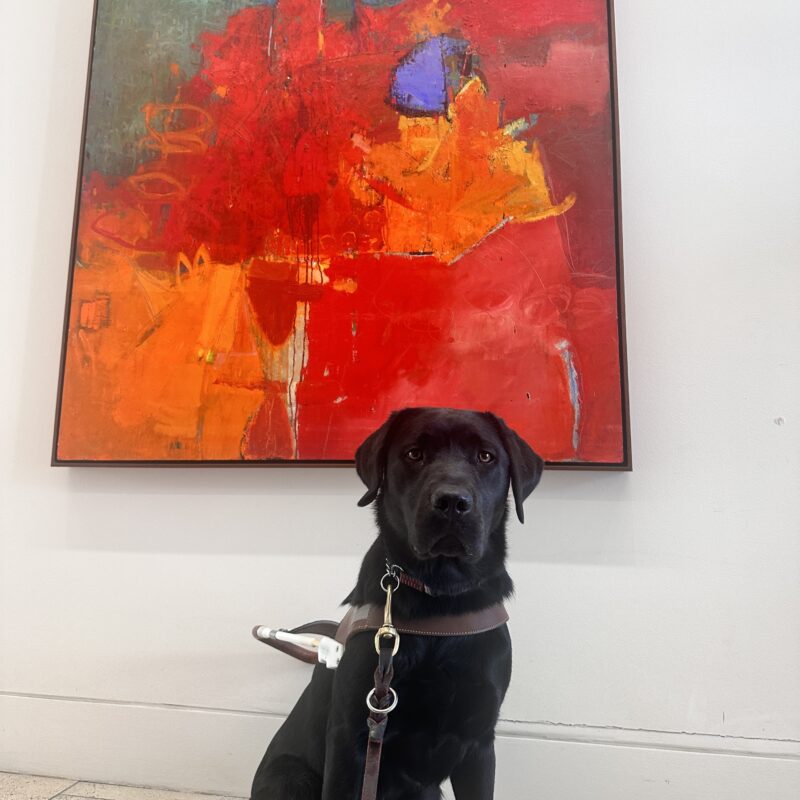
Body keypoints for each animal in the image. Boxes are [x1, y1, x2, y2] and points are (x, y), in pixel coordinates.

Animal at [253, 410, 548, 796]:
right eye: (414, 454)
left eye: (486, 456)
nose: (452, 502)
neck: (440, 600)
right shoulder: (351, 738)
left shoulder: (480, 742)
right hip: (288, 777)